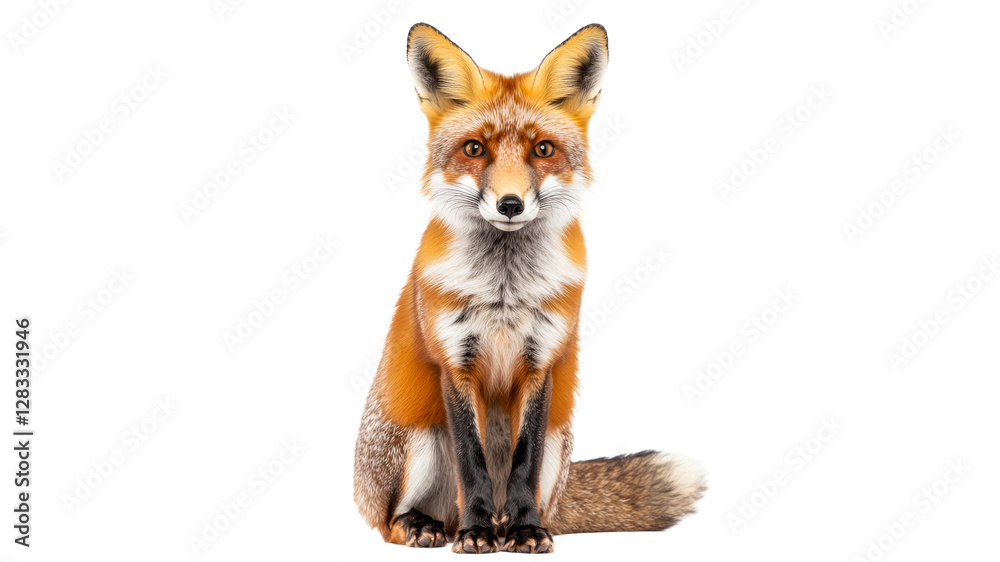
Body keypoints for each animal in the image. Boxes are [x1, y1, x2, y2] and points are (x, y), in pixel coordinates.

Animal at [354, 23, 707, 554]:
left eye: (543, 149)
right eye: (474, 149)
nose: (510, 204)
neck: (505, 291)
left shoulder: (542, 360)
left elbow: (524, 456)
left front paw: (526, 529)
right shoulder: (454, 362)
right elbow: (473, 462)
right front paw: (477, 533)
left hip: (560, 446)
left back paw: (512, 526)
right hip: (419, 440)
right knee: (390, 522)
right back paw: (436, 525)